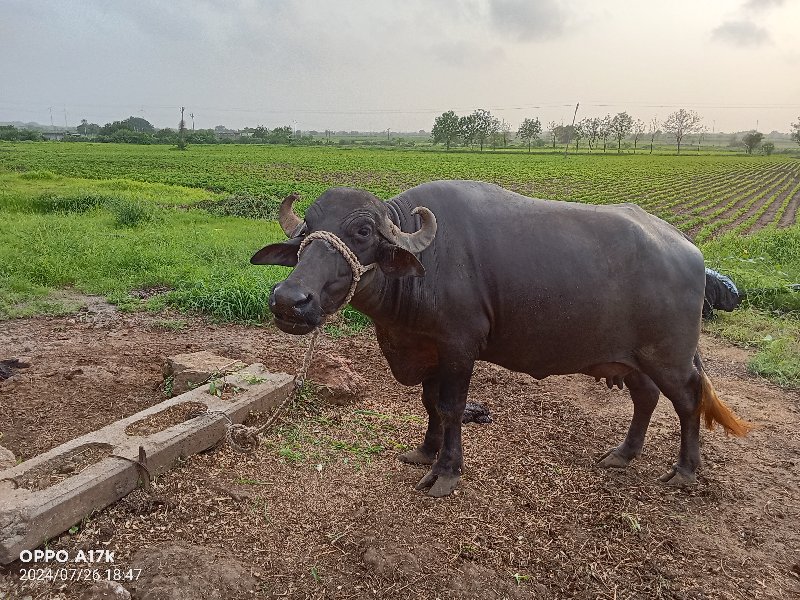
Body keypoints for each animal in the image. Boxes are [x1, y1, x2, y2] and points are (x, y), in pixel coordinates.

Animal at [252, 182, 752, 496]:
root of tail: (690, 251)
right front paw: (426, 451)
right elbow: (430, 403)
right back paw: (623, 454)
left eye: (362, 231)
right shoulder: (429, 346)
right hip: (631, 359)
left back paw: (684, 471)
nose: (290, 300)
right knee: (646, 397)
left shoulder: (459, 347)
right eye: (306, 230)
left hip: (670, 358)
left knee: (688, 401)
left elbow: (451, 407)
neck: (427, 267)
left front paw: (446, 472)